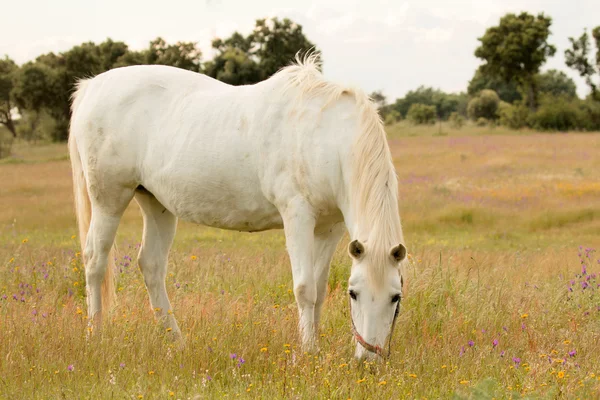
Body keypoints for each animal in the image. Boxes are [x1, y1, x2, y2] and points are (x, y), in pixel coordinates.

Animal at [70, 54, 408, 360]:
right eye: (354, 294)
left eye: (395, 297)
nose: (369, 360)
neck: (325, 136)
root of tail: (91, 87)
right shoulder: (297, 217)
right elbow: (304, 288)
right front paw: (309, 352)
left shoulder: (329, 228)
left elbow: (320, 288)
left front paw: (316, 348)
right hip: (109, 200)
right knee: (95, 261)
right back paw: (95, 337)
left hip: (155, 203)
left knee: (151, 266)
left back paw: (177, 342)